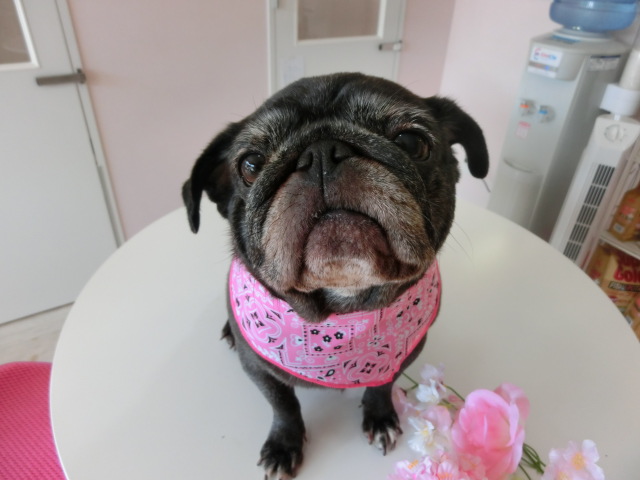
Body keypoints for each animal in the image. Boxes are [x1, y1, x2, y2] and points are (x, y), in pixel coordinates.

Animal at [182, 72, 488, 479]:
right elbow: (283, 406)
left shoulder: (404, 355)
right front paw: (284, 445)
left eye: (412, 142)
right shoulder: (260, 370)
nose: (322, 152)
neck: (341, 314)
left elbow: (382, 386)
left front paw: (380, 417)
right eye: (250, 165)